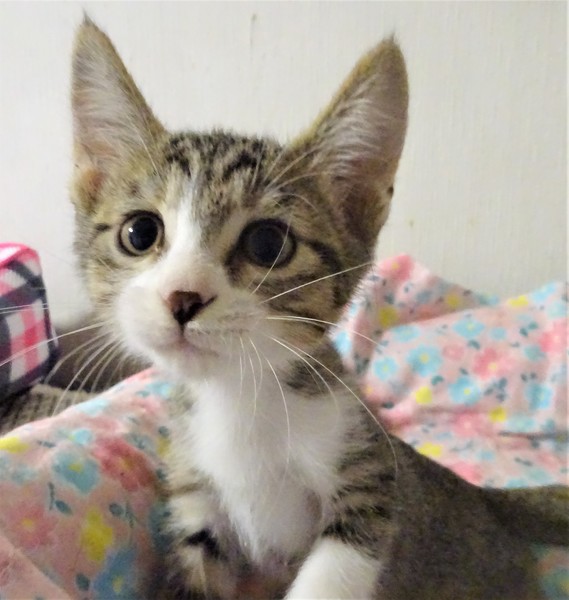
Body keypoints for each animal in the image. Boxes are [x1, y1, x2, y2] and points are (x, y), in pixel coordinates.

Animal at [70, 17, 568, 600]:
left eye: (267, 244)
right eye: (140, 233)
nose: (183, 297)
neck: (239, 402)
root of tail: (483, 497)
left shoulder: (368, 479)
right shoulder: (195, 502)